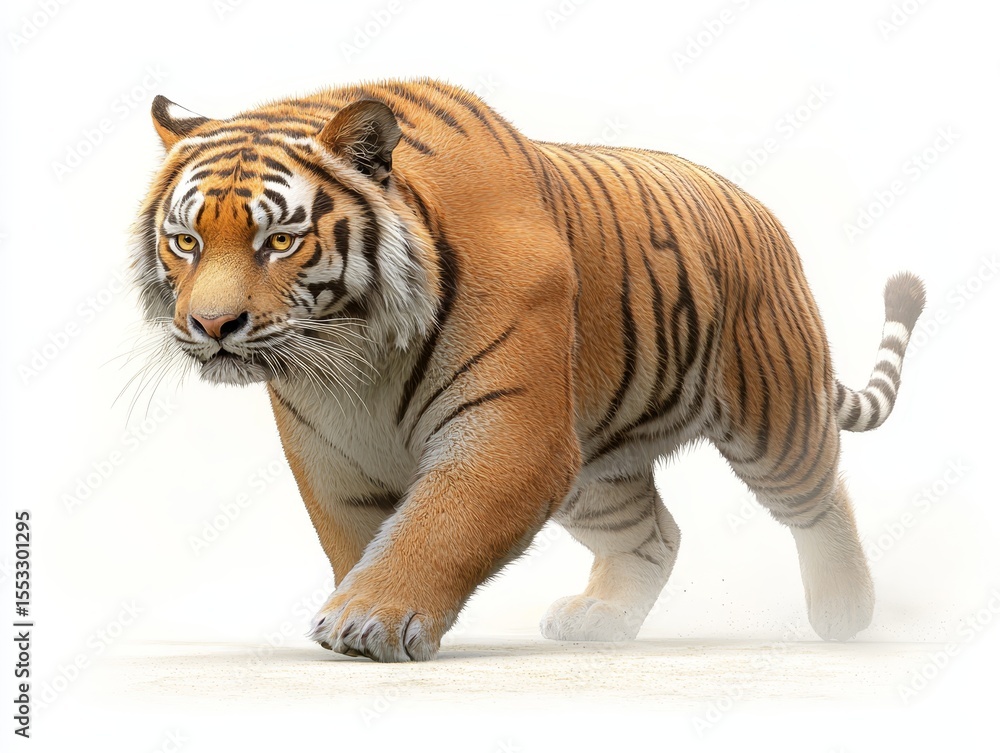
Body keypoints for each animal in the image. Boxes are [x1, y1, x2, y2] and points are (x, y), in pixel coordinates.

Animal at [130, 77, 926, 662]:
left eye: (281, 241)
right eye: (185, 240)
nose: (212, 326)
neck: (356, 354)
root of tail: (759, 207)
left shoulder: (512, 431)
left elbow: (439, 523)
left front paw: (371, 620)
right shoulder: (333, 454)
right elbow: (359, 536)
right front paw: (354, 605)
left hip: (773, 415)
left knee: (821, 499)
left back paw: (845, 612)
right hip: (597, 470)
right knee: (654, 531)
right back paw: (602, 617)